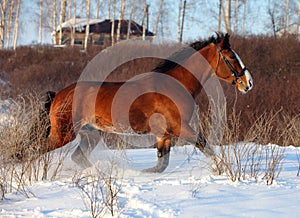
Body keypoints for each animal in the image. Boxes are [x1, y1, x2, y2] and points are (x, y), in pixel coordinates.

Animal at [45, 33, 253, 172]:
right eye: (232, 57)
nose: (248, 83)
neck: (173, 85)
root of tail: (58, 95)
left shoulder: (164, 134)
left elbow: (161, 164)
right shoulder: (180, 127)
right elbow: (204, 145)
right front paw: (221, 169)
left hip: (90, 134)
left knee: (78, 157)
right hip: (64, 134)